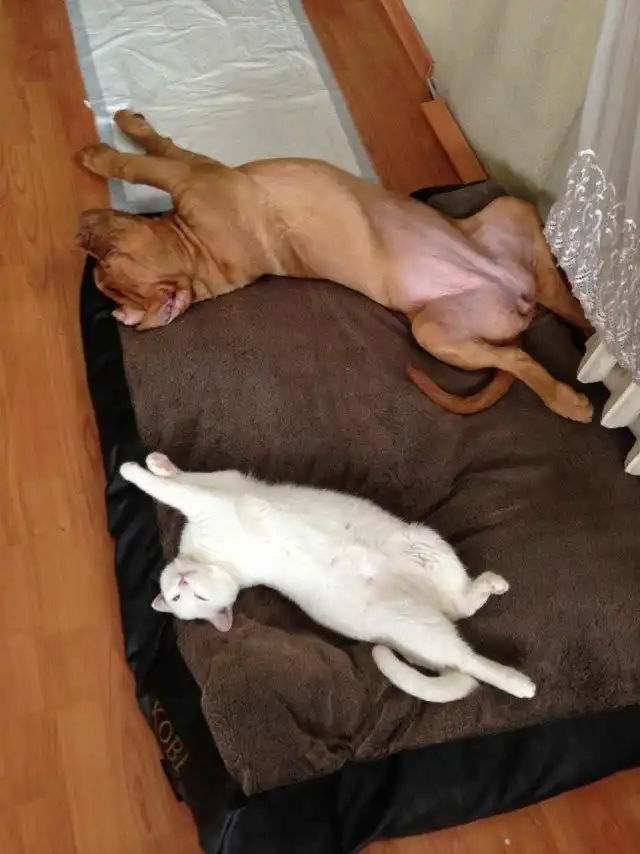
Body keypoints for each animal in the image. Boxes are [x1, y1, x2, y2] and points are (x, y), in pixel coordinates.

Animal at [75, 110, 593, 422]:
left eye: (110, 257)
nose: (80, 234)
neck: (195, 252)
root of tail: (518, 293)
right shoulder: (192, 174)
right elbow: (144, 162)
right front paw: (103, 150)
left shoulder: (192, 169)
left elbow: (151, 154)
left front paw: (113, 137)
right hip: (436, 330)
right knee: (519, 356)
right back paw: (569, 397)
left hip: (511, 214)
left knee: (565, 307)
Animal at [120, 452, 536, 704]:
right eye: (180, 601)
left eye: (194, 599)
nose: (181, 585)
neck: (209, 559)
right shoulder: (212, 498)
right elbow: (175, 486)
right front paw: (144, 468)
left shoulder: (218, 489)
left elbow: (176, 483)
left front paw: (149, 466)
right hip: (419, 624)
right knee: (466, 650)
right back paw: (518, 680)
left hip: (426, 543)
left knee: (464, 618)